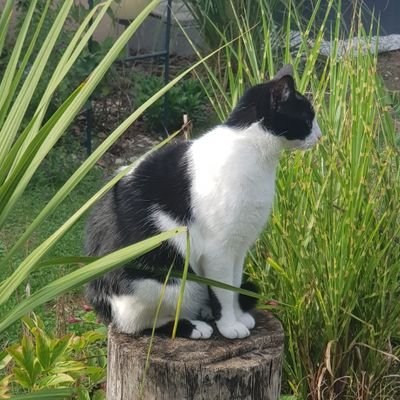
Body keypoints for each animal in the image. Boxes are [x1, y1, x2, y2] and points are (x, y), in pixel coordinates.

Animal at [85, 64, 322, 340]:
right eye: (308, 118)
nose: (320, 136)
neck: (253, 152)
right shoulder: (218, 250)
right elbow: (223, 291)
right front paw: (229, 325)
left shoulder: (239, 247)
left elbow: (234, 285)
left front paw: (237, 316)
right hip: (167, 284)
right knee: (141, 324)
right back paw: (194, 326)